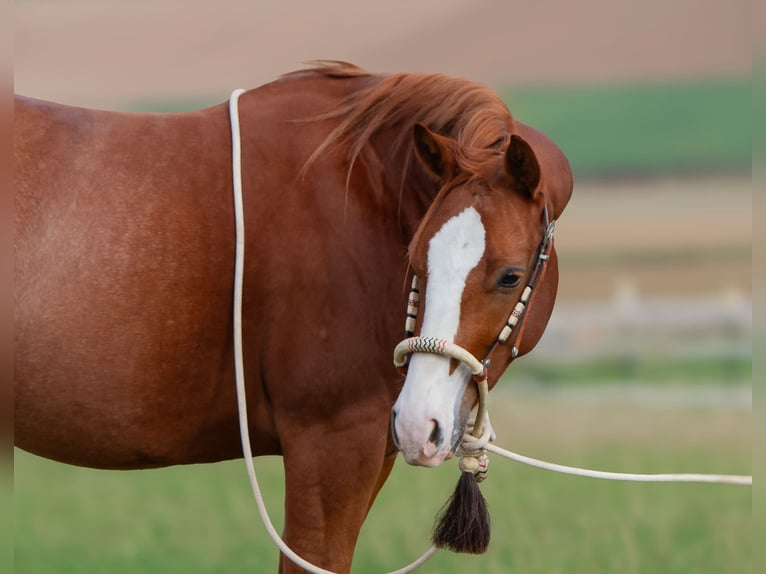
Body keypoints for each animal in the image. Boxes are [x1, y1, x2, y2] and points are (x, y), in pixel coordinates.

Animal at [14, 61, 572, 573]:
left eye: (510, 276)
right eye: (416, 260)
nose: (421, 422)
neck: (363, 193)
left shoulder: (371, 450)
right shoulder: (331, 445)